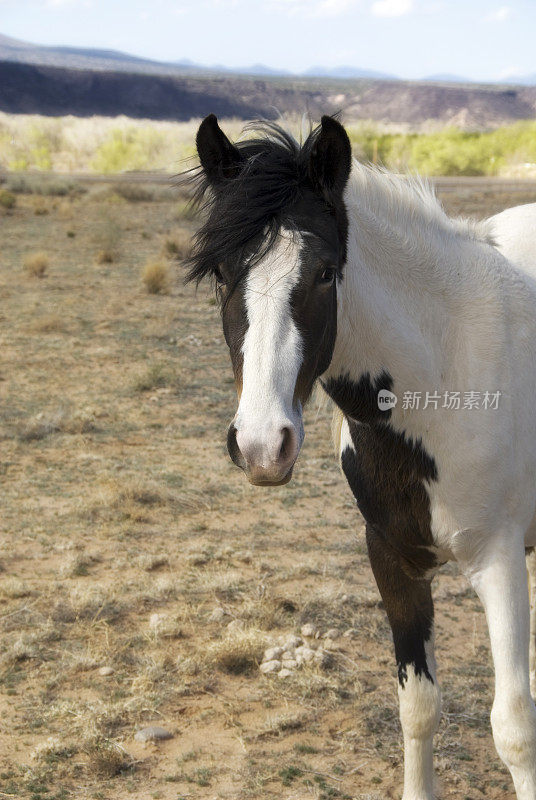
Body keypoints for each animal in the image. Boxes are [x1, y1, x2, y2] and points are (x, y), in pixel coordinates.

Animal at [187, 114, 536, 800]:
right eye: (220, 273)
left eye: (325, 273)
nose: (262, 445)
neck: (448, 365)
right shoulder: (391, 558)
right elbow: (418, 706)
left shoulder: (502, 561)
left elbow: (514, 730)